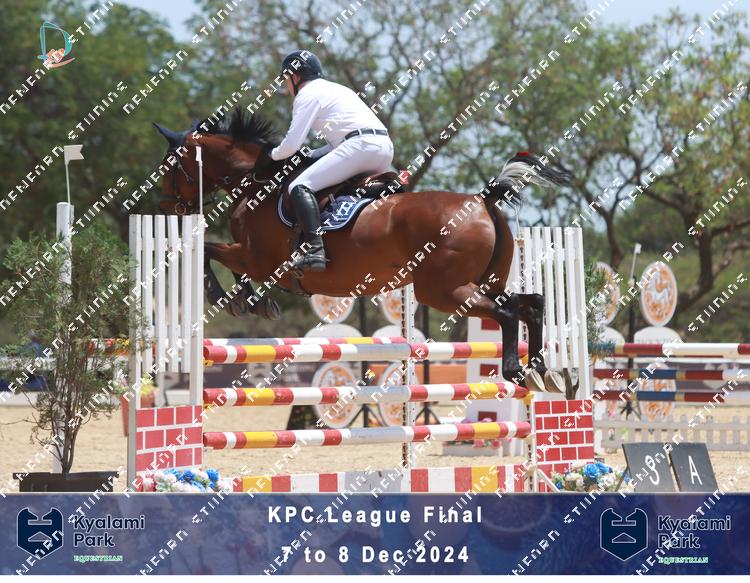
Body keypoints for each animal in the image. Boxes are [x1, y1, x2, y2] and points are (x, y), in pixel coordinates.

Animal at [153, 107, 574, 394]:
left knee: (507, 312)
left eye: (170, 166)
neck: (259, 184)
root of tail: (482, 200)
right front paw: (254, 303)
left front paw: (234, 299)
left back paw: (517, 370)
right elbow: (222, 260)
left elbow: (211, 253)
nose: (169, 207)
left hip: (443, 291)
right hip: (482, 283)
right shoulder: (254, 258)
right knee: (531, 303)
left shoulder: (259, 259)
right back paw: (545, 370)